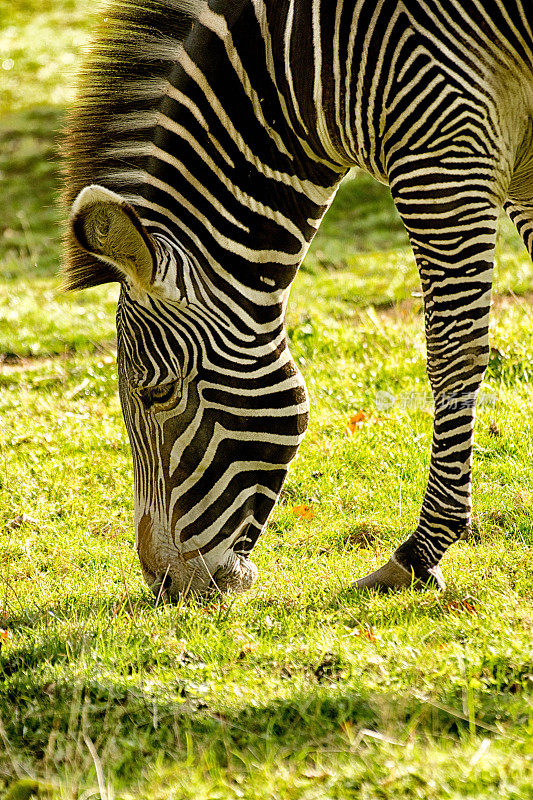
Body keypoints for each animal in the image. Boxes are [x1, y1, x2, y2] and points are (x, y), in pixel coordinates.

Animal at [64, 0, 532, 596]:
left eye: (158, 393)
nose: (166, 584)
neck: (304, 63)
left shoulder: (442, 152)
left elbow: (452, 353)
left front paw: (420, 554)